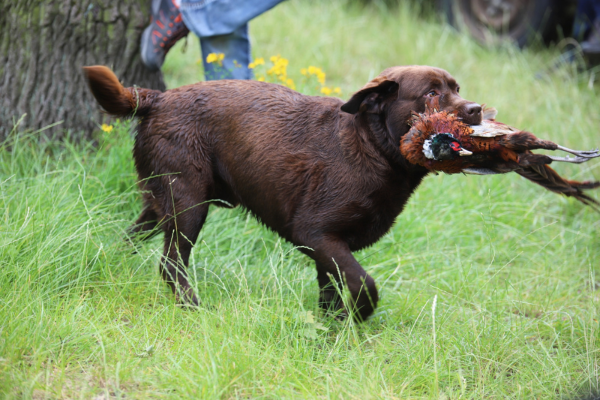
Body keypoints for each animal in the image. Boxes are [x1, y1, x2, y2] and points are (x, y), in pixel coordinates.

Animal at [83, 65, 482, 322]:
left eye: (458, 89)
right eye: (431, 93)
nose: (477, 109)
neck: (370, 147)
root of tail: (158, 99)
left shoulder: (329, 247)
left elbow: (330, 293)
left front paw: (331, 328)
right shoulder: (315, 234)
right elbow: (365, 285)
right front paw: (356, 317)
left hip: (160, 203)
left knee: (128, 239)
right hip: (189, 204)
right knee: (169, 264)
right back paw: (194, 309)